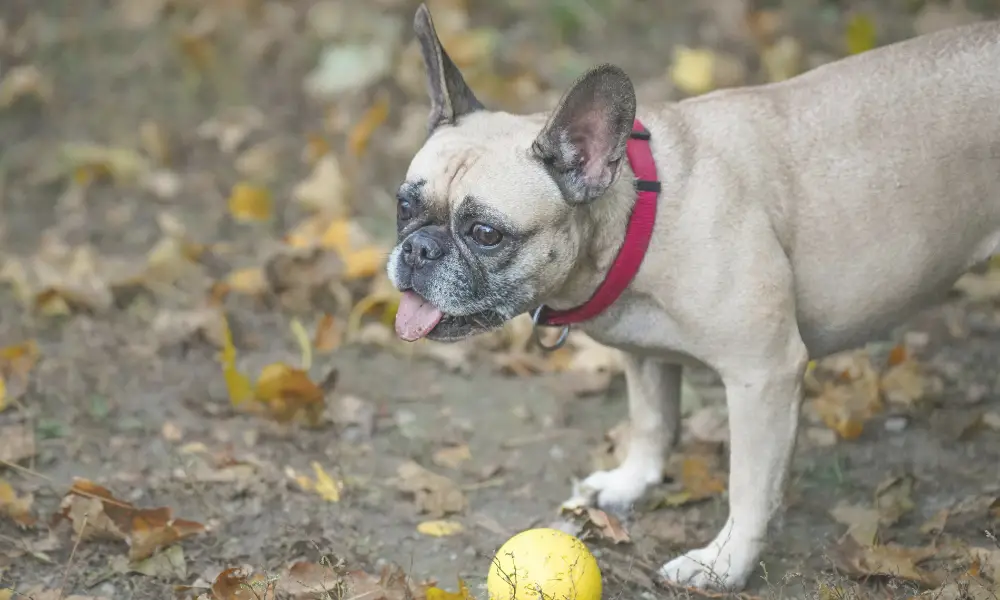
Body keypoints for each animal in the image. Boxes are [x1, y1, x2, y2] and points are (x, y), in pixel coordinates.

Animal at [382, 3, 1000, 592]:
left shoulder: (764, 374)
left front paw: (723, 565)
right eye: (404, 206)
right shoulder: (643, 353)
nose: (418, 250)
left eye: (486, 233)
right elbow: (652, 422)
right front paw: (630, 482)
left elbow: (749, 484)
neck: (639, 210)